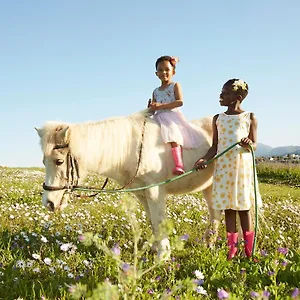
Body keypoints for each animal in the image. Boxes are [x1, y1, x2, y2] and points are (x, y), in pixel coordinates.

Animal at [35, 111, 220, 254]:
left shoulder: (155, 191)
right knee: (214, 213)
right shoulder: (142, 193)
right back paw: (209, 243)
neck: (133, 149)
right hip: (209, 186)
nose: (48, 203)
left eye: (59, 161)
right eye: (43, 161)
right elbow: (152, 221)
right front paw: (154, 249)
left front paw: (163, 255)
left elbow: (158, 221)